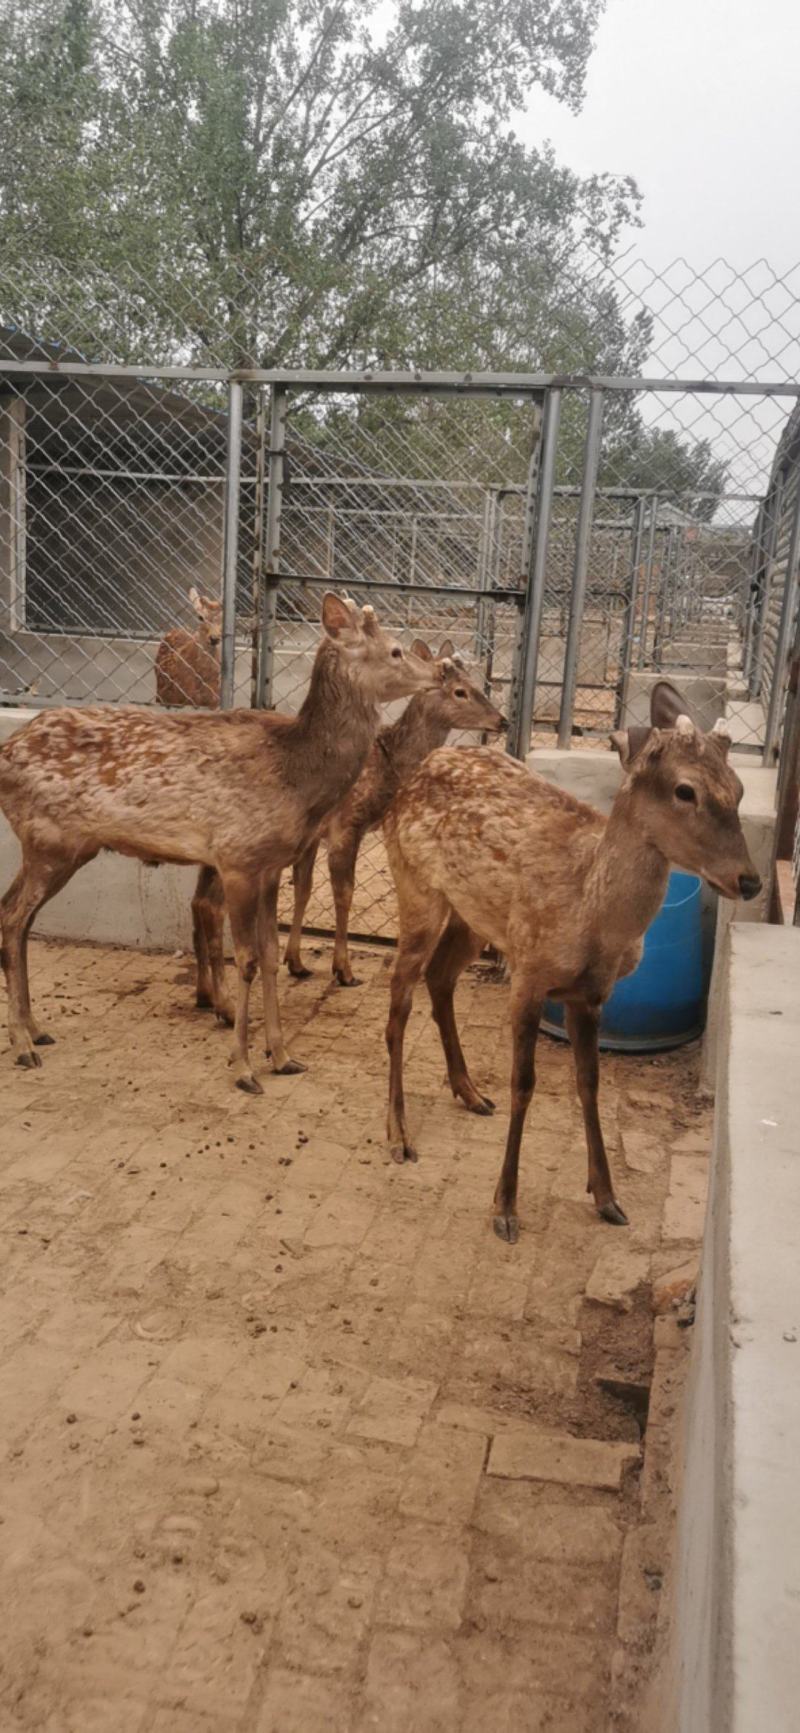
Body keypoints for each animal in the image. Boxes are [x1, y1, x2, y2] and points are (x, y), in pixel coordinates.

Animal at [0, 594, 444, 1094]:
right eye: (395, 650)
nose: (441, 671)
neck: (296, 776)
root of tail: (5, 752)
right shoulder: (238, 858)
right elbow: (245, 959)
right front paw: (244, 1066)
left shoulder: (270, 866)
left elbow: (270, 957)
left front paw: (283, 1056)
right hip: (48, 840)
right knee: (12, 916)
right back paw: (23, 1043)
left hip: (64, 848)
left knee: (19, 917)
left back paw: (35, 1028)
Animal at [282, 640, 507, 987]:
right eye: (460, 691)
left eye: (475, 683)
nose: (502, 721)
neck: (389, 766)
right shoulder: (347, 824)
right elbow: (343, 893)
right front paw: (344, 970)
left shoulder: (316, 834)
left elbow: (303, 890)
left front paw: (295, 962)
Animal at [382, 680, 762, 1243]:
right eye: (685, 790)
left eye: (737, 789)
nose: (749, 880)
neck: (590, 912)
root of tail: (419, 770)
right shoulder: (529, 971)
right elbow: (524, 1084)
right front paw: (505, 1207)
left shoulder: (593, 993)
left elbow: (589, 1083)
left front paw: (606, 1197)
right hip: (416, 889)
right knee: (399, 999)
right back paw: (398, 1133)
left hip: (474, 917)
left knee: (440, 976)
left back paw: (469, 1091)